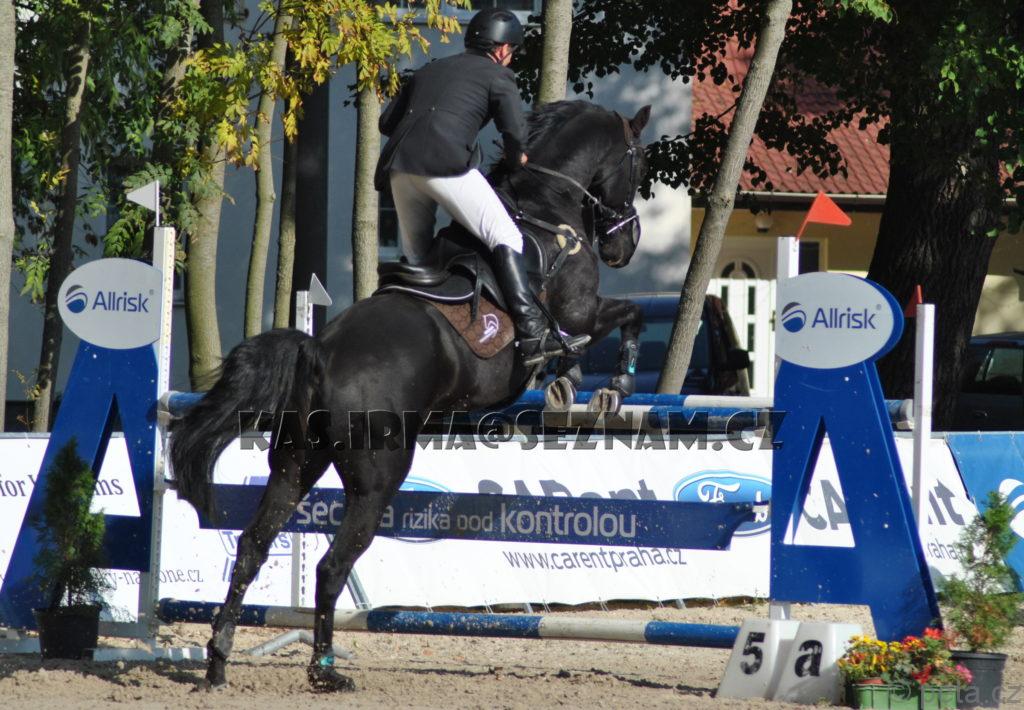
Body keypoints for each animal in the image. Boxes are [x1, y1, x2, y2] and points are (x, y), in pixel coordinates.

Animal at [169, 99, 652, 691]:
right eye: (639, 162)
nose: (625, 245)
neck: (548, 207)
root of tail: (320, 350)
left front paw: (569, 380)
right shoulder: (580, 312)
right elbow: (630, 313)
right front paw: (612, 384)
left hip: (296, 461)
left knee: (252, 547)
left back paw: (217, 660)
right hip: (379, 477)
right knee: (331, 567)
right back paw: (325, 671)